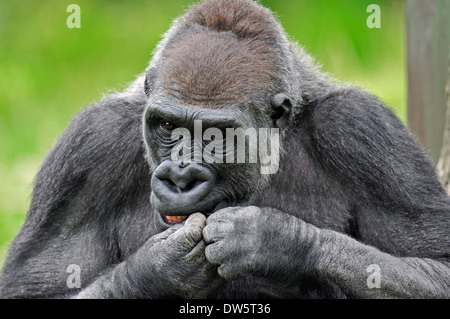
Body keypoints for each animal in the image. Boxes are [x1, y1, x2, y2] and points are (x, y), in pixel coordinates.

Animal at [0, 0, 450, 300]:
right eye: (168, 126)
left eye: (218, 135)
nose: (180, 178)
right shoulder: (88, 149)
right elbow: (33, 290)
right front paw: (156, 271)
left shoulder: (365, 132)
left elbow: (437, 267)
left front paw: (273, 241)